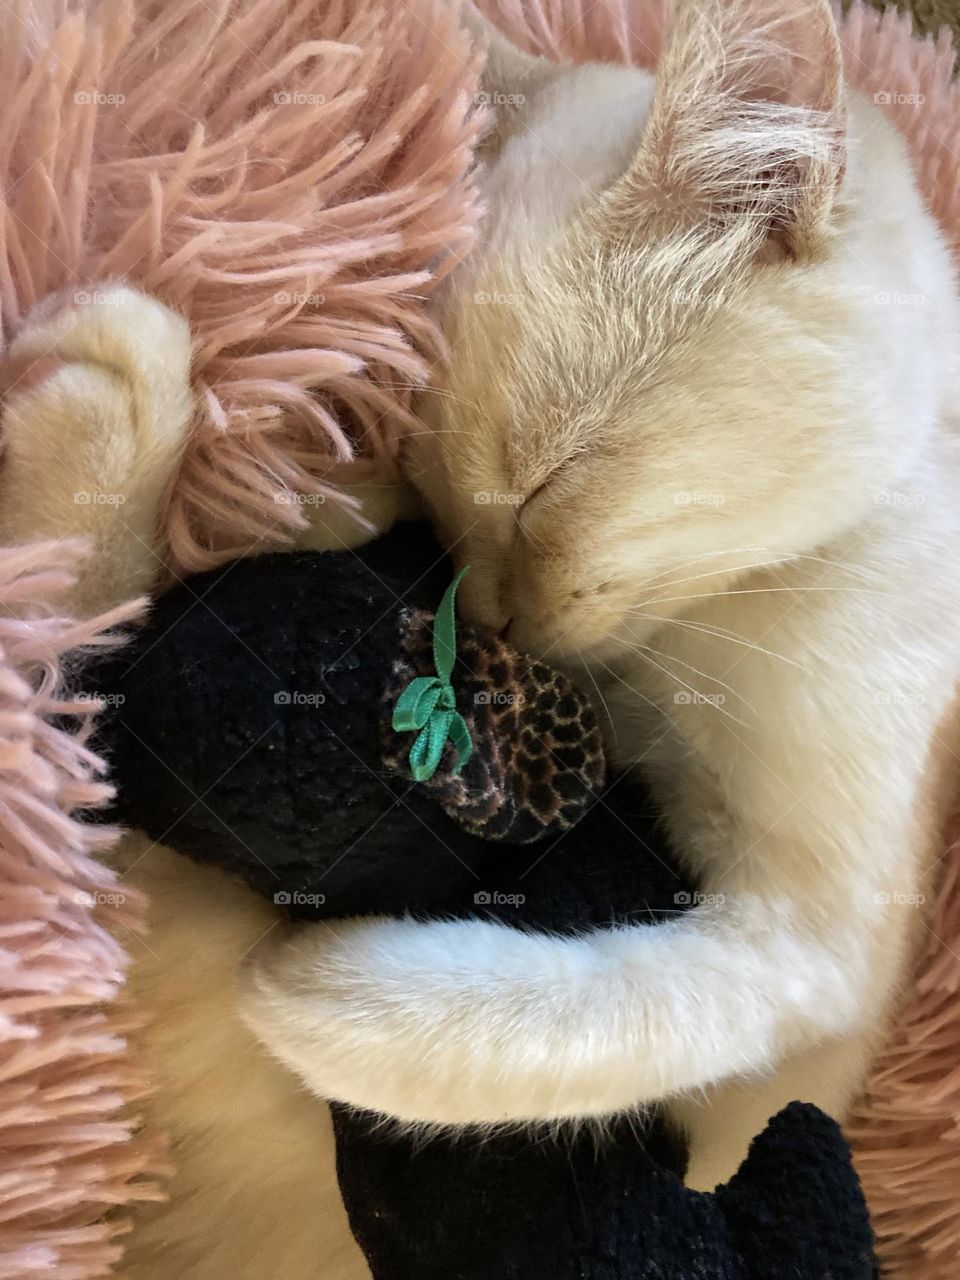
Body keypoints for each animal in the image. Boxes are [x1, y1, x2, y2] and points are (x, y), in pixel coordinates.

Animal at [236, 0, 960, 1187]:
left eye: (543, 490)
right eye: (441, 509)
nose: (490, 621)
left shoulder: (813, 942)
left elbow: (591, 1022)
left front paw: (324, 1001)